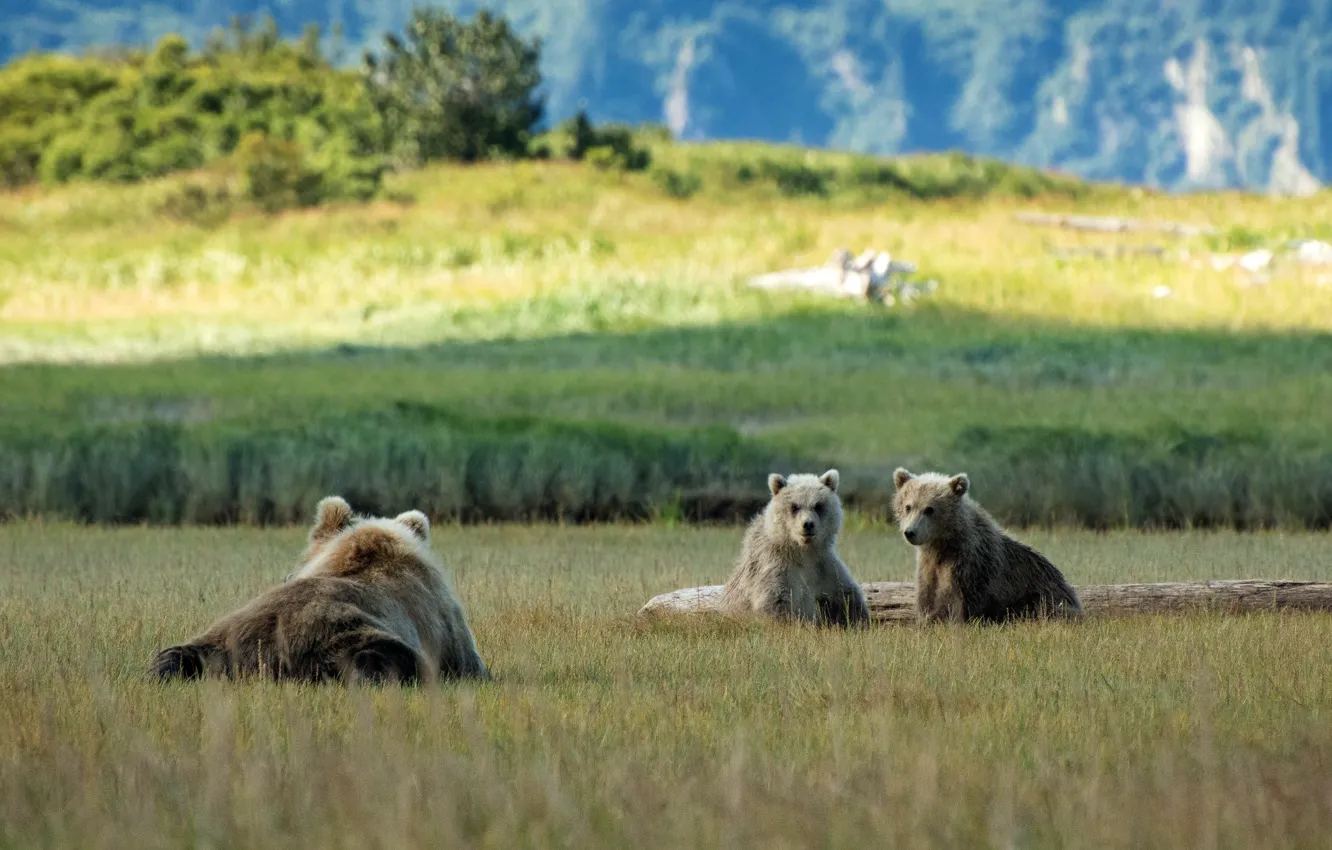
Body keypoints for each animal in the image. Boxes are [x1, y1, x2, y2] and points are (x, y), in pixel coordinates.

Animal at [151, 496, 489, 685]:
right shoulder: (446, 628)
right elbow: (471, 665)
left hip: (214, 643)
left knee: (172, 657)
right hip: (343, 639)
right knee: (380, 659)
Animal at [718, 469, 871, 626]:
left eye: (818, 505)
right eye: (794, 506)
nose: (808, 524)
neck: (803, 551)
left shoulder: (824, 566)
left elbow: (845, 597)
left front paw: (859, 621)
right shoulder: (776, 567)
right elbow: (775, 602)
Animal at [892, 468, 1082, 624]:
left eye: (929, 509)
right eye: (908, 506)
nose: (910, 532)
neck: (942, 543)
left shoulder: (969, 564)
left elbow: (954, 602)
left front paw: (929, 620)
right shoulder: (928, 564)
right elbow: (926, 596)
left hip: (1042, 593)